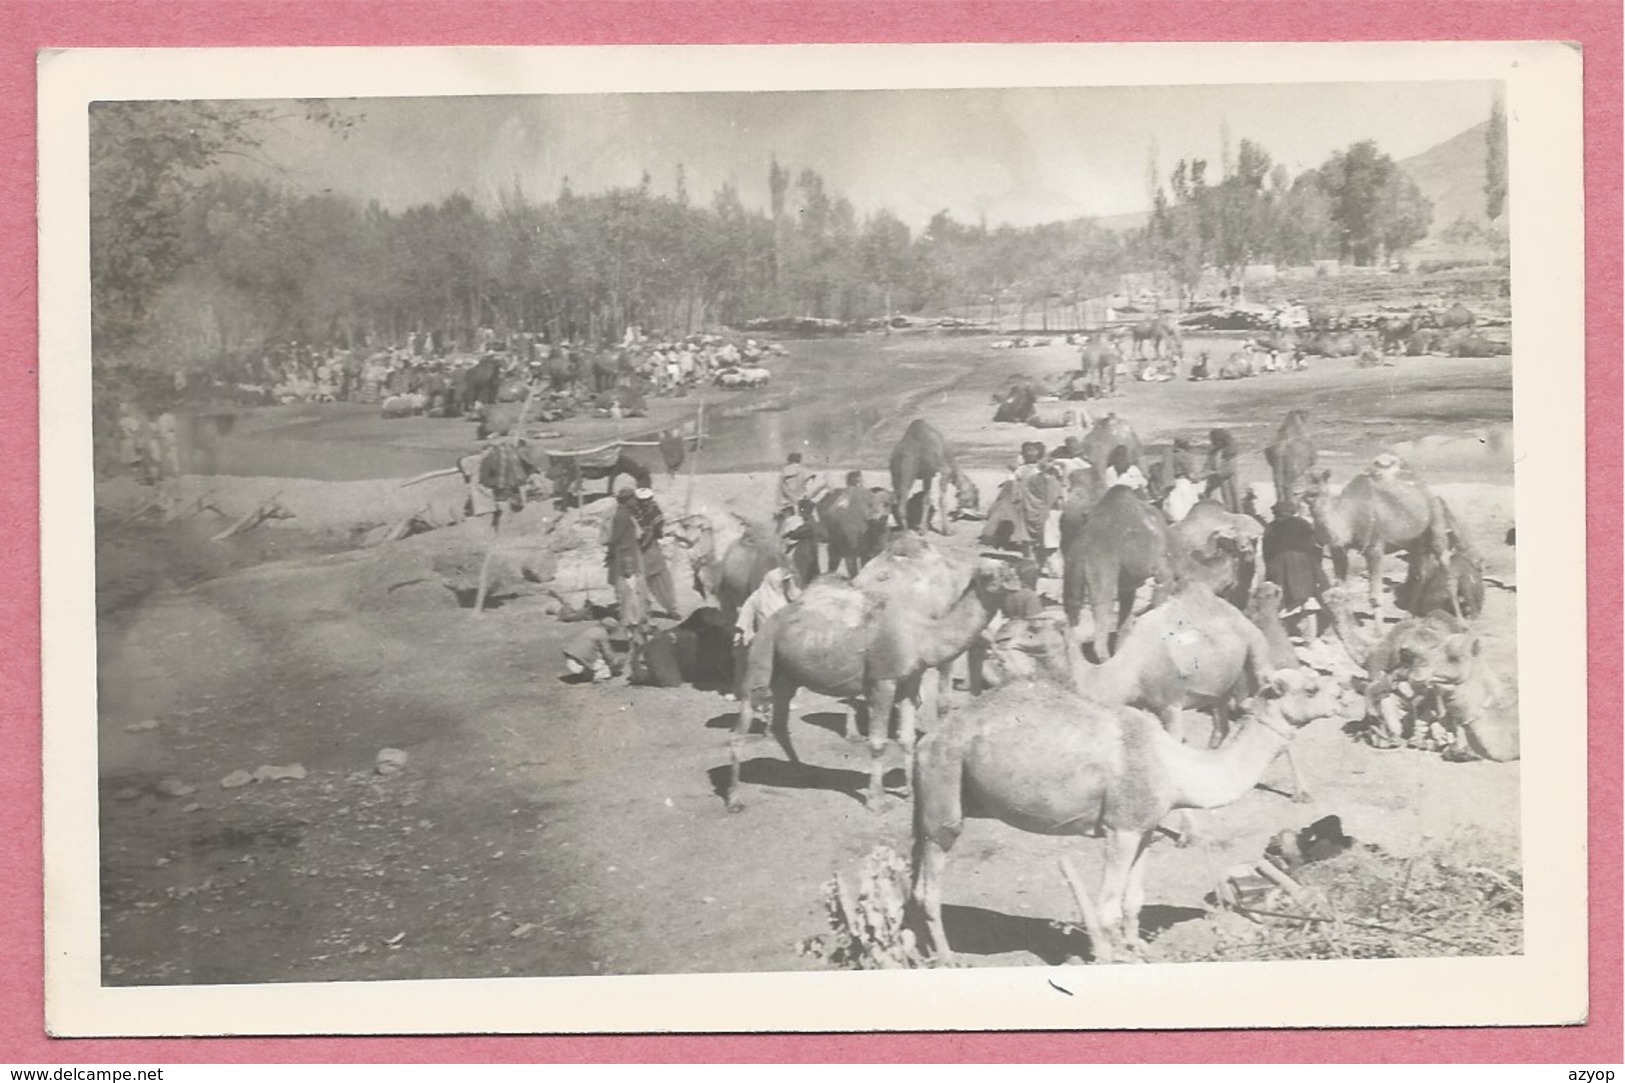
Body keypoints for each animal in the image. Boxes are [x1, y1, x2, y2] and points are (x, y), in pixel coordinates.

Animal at [728, 543, 1014, 806]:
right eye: (988, 574)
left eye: (1007, 568)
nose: (1013, 577)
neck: (921, 634)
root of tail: (770, 621)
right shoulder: (883, 681)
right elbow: (878, 742)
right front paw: (876, 800)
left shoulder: (910, 680)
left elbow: (907, 738)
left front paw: (909, 792)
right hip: (762, 654)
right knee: (740, 727)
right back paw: (734, 799)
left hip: (787, 676)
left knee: (780, 724)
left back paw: (803, 773)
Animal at [1066, 481, 1170, 656]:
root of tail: (1082, 551)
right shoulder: (1159, 560)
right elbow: (1163, 587)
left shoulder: (1127, 585)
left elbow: (1125, 619)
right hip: (1101, 573)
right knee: (1101, 616)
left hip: (1072, 573)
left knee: (1072, 617)